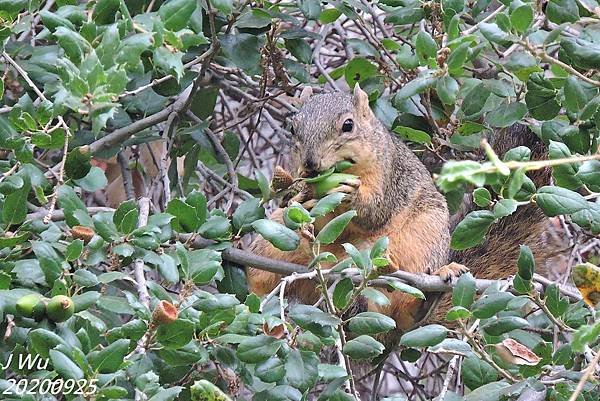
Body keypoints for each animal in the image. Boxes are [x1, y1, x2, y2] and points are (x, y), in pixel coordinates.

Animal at [247, 85, 552, 334]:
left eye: (348, 125)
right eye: (292, 129)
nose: (310, 164)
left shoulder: (390, 176)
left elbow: (377, 213)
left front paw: (351, 195)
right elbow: (308, 214)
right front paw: (296, 196)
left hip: (422, 235)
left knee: (406, 315)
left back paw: (429, 296)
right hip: (272, 244)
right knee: (261, 278)